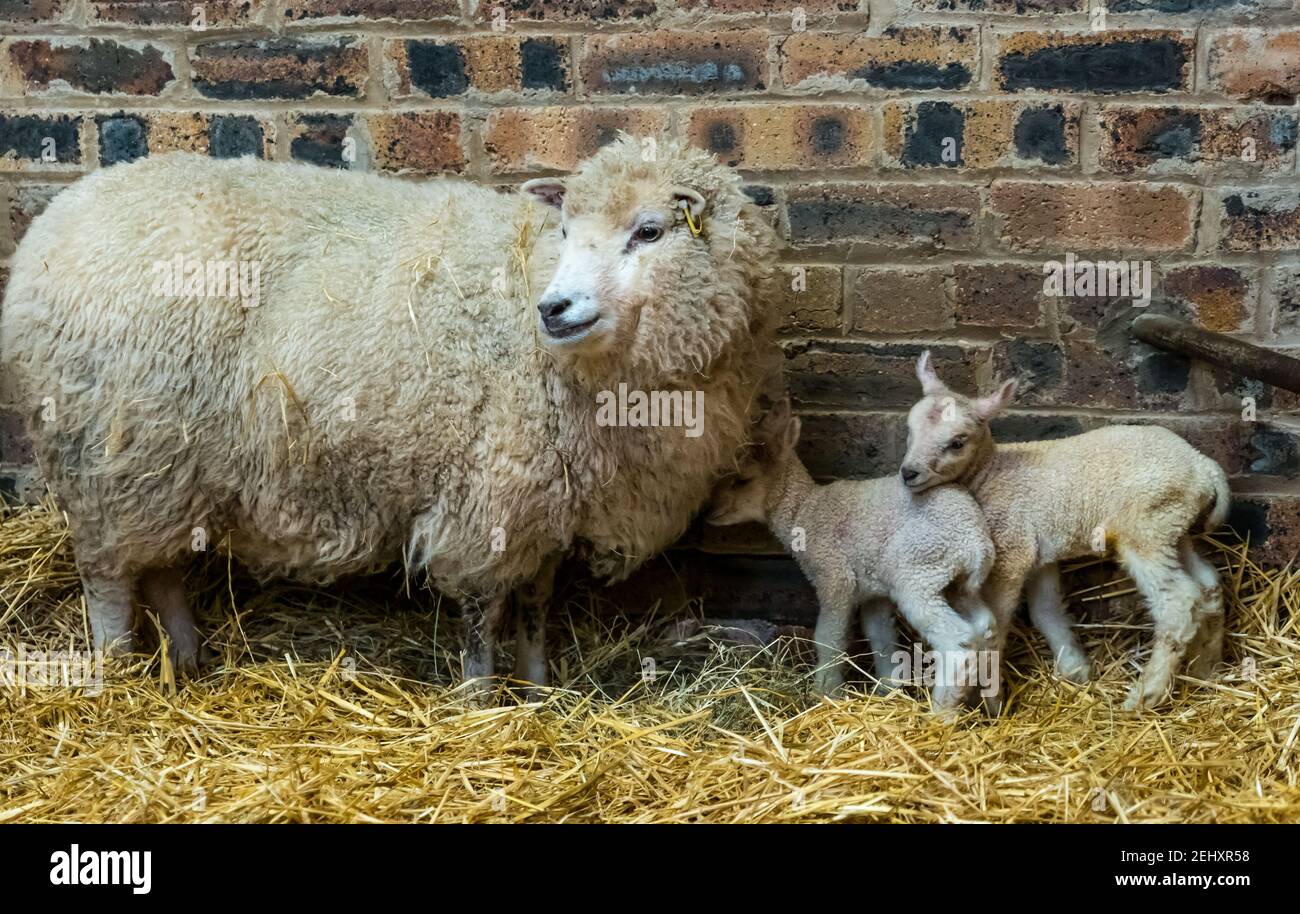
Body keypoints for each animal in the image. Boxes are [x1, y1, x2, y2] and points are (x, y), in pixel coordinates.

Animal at [0, 132, 774, 696]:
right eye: (564, 228)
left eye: (650, 231)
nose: (554, 309)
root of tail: (53, 225)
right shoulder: (483, 500)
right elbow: (481, 619)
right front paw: (480, 703)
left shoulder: (545, 500)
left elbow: (535, 606)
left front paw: (538, 689)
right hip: (104, 457)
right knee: (106, 580)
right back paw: (110, 681)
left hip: (162, 464)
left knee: (158, 566)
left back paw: (187, 660)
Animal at [712, 400, 993, 717]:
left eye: (742, 480)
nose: (710, 510)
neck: (803, 511)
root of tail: (976, 543)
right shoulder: (874, 593)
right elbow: (881, 638)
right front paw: (887, 690)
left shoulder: (834, 577)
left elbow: (828, 638)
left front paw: (826, 692)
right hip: (959, 583)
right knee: (985, 627)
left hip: (917, 572)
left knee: (958, 642)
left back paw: (942, 713)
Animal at [899, 353, 1232, 712]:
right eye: (909, 430)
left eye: (957, 443)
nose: (908, 473)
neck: (990, 474)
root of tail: (1204, 467)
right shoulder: (1039, 554)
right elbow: (1046, 611)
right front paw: (1076, 670)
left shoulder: (1010, 552)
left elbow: (997, 625)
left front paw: (991, 700)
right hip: (1173, 526)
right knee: (1209, 585)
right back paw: (1206, 668)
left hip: (1145, 527)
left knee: (1178, 603)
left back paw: (1145, 695)